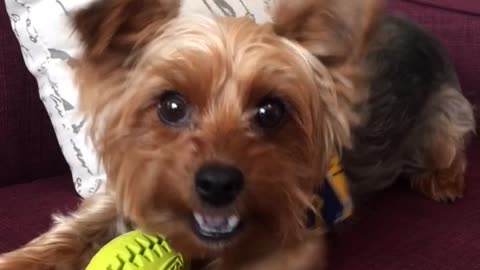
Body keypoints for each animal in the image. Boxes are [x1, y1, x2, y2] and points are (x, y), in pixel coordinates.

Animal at [0, 0, 474, 268]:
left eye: (270, 112)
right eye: (172, 107)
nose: (217, 183)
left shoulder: (296, 239)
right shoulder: (131, 183)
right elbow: (80, 226)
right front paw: (21, 259)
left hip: (444, 110)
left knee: (452, 143)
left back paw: (443, 181)